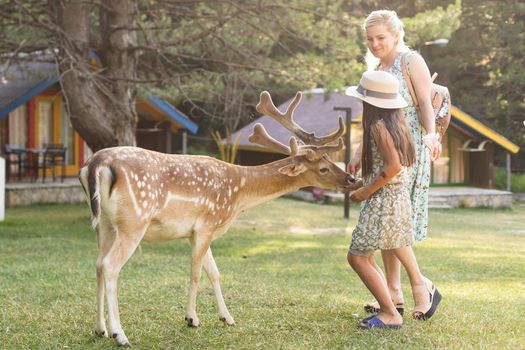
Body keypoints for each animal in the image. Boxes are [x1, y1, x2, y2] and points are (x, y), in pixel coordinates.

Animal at [79, 91, 356, 348]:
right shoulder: (206, 225)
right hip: (134, 221)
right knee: (110, 266)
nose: (352, 179)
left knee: (98, 264)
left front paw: (227, 318)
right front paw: (192, 319)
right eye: (323, 168)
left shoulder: (198, 232)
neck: (238, 196)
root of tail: (95, 163)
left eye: (329, 160)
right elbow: (196, 274)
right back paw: (120, 334)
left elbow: (214, 272)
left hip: (104, 224)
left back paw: (100, 329)